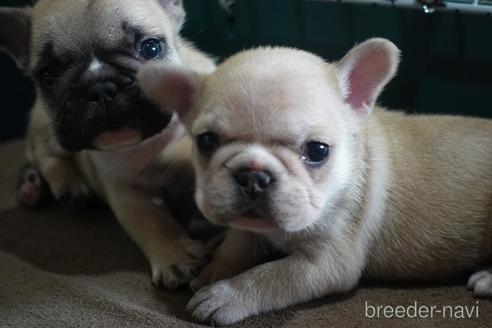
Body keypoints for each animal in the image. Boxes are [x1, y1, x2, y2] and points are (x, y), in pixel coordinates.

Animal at [0, 0, 215, 288]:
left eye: (151, 48)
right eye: (48, 76)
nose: (99, 87)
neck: (149, 143)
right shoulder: (125, 192)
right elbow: (151, 221)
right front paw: (175, 254)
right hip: (46, 130)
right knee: (47, 157)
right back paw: (64, 185)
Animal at [138, 37, 492, 324]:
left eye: (317, 150)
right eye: (206, 141)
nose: (253, 175)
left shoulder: (328, 262)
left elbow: (271, 276)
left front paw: (225, 295)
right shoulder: (246, 225)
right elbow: (238, 240)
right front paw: (218, 268)